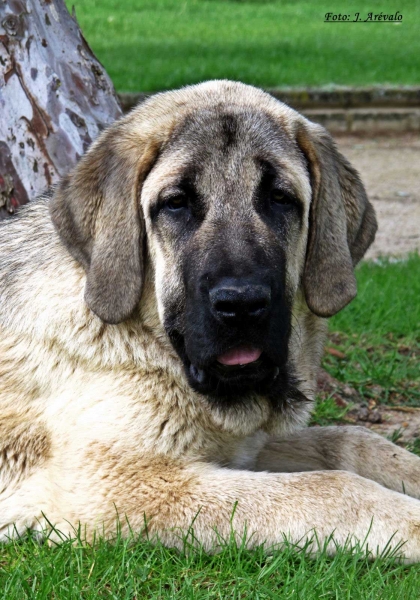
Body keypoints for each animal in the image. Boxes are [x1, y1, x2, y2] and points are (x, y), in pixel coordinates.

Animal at [0, 79, 420, 556]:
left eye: (280, 198)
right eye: (176, 203)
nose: (241, 304)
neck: (151, 345)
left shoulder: (240, 449)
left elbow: (351, 440)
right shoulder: (121, 484)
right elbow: (332, 487)